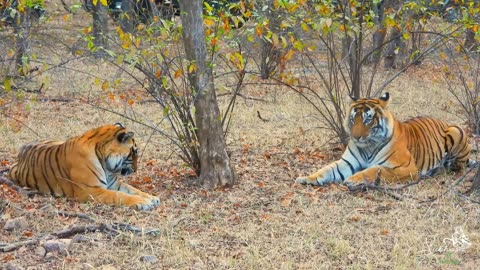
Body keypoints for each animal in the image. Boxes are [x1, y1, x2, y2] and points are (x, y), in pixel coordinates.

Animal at [7, 123, 160, 211]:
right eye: (134, 152)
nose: (135, 170)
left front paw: (152, 198)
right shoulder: (90, 190)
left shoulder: (114, 183)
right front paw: (143, 202)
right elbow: (119, 195)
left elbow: (133, 189)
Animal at [294, 93, 470, 188]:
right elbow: (326, 169)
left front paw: (353, 179)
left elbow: (375, 169)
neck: (368, 146)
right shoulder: (346, 162)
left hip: (457, 131)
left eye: (368, 119)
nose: (356, 137)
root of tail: (442, 121)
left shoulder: (407, 168)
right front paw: (306, 178)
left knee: (458, 166)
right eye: (353, 119)